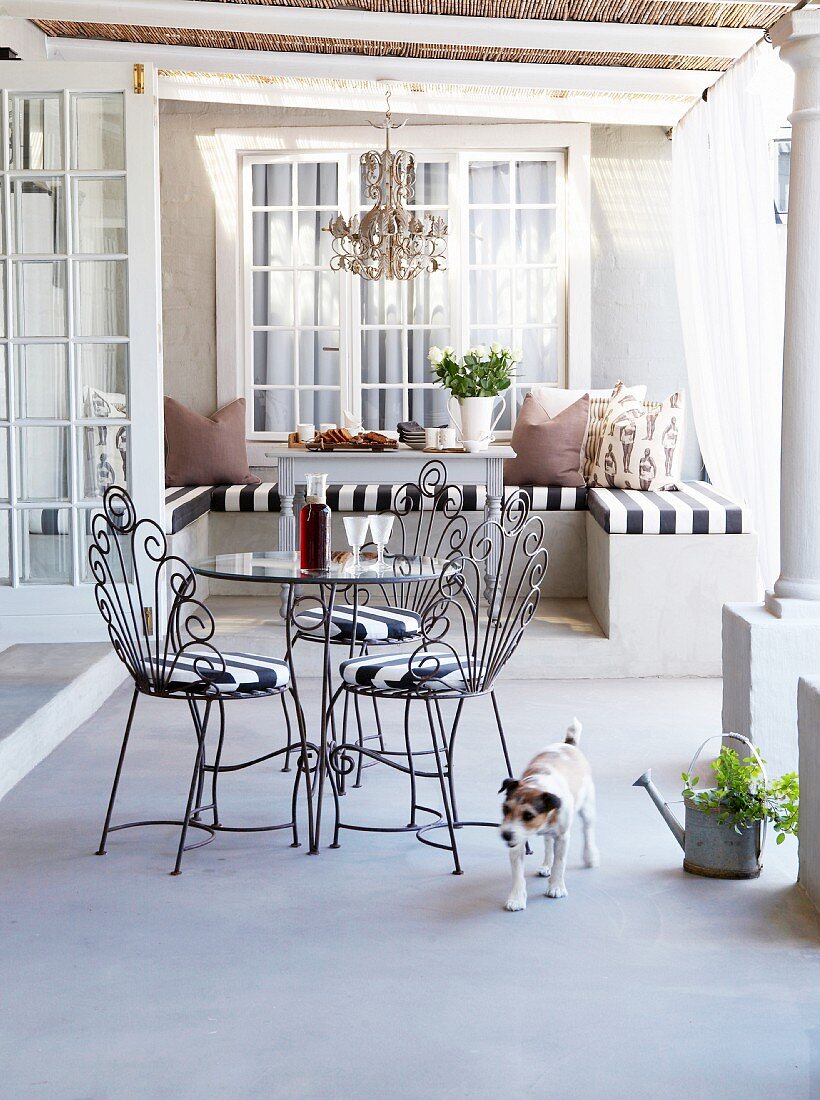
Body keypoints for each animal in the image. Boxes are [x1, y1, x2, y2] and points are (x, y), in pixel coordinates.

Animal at [495, 712, 598, 910]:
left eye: (528, 815)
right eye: (505, 809)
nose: (505, 835)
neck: (537, 785)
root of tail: (568, 743)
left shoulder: (563, 837)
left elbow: (560, 863)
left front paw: (556, 887)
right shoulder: (518, 841)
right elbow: (517, 874)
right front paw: (517, 898)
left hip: (587, 809)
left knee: (587, 830)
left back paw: (590, 856)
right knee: (548, 842)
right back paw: (546, 865)